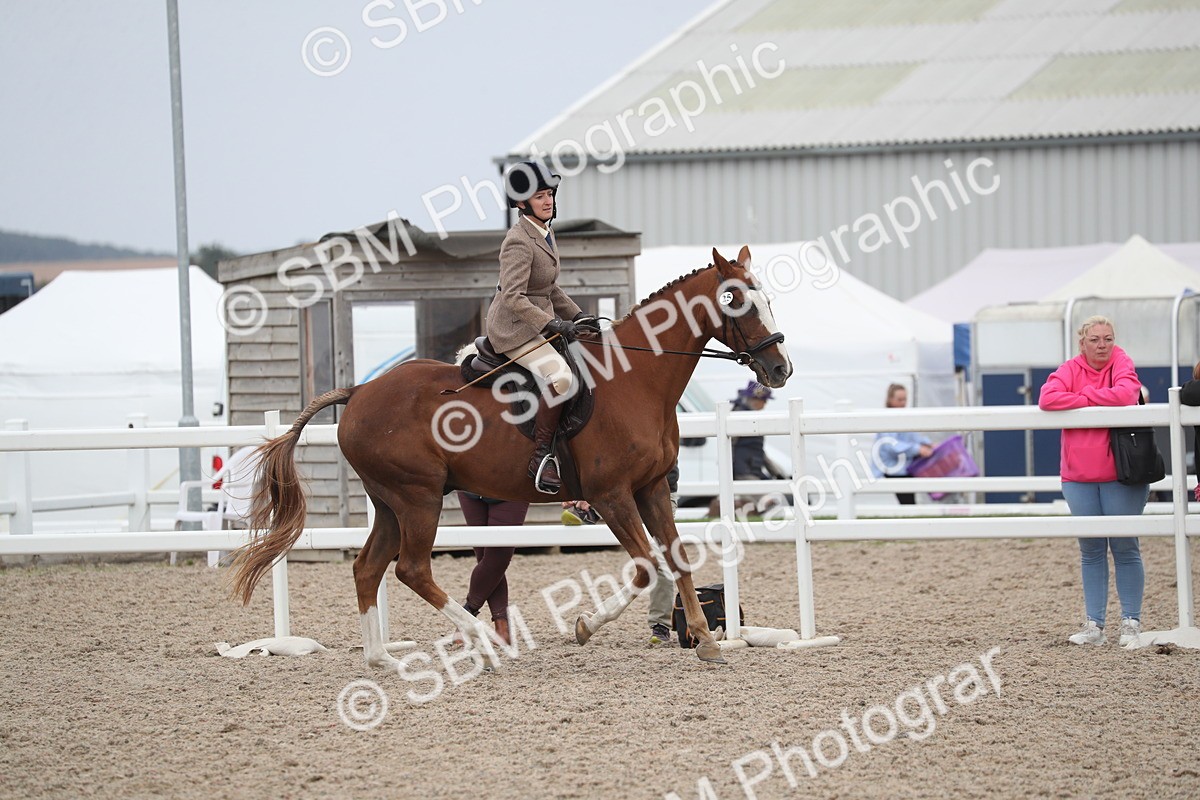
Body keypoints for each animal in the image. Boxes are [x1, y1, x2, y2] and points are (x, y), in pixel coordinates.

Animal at [229, 246, 792, 665]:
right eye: (736, 301)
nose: (780, 368)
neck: (636, 380)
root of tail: (360, 391)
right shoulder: (611, 496)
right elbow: (644, 568)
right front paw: (586, 626)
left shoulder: (652, 488)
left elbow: (675, 558)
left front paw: (706, 641)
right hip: (418, 498)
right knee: (411, 569)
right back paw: (483, 644)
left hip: (390, 501)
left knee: (369, 568)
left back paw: (381, 659)